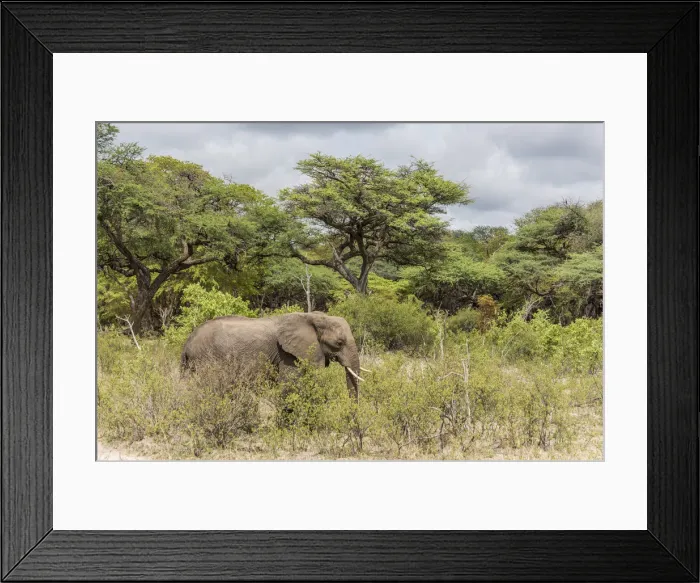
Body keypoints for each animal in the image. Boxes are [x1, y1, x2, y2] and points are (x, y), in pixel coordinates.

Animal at [180, 311, 364, 401]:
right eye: (339, 342)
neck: (314, 316)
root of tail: (188, 342)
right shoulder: (287, 354)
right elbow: (290, 384)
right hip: (205, 358)